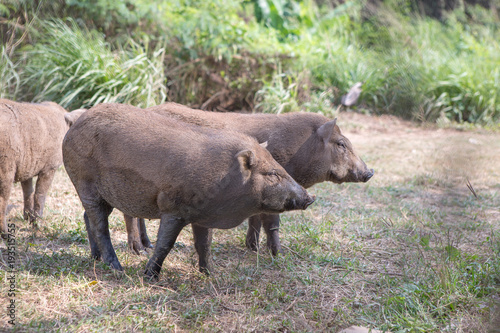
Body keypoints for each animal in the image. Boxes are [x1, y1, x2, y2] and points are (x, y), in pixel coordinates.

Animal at [0, 98, 84, 239]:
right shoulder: (50, 167)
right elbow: (40, 194)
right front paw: (37, 226)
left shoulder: (26, 167)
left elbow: (28, 191)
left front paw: (27, 219)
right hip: (6, 167)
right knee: (3, 200)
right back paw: (7, 235)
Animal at [61, 104, 312, 278]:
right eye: (272, 174)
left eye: (279, 167)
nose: (310, 197)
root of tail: (74, 126)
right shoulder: (173, 208)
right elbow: (165, 244)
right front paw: (149, 276)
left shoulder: (202, 216)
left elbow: (204, 244)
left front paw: (211, 275)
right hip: (84, 182)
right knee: (100, 225)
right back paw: (117, 268)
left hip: (106, 195)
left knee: (88, 217)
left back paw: (95, 257)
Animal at [127, 103, 374, 254]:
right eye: (341, 144)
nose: (370, 172)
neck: (301, 150)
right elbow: (271, 223)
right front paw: (278, 255)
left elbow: (255, 219)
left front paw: (253, 249)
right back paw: (139, 250)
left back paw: (148, 246)